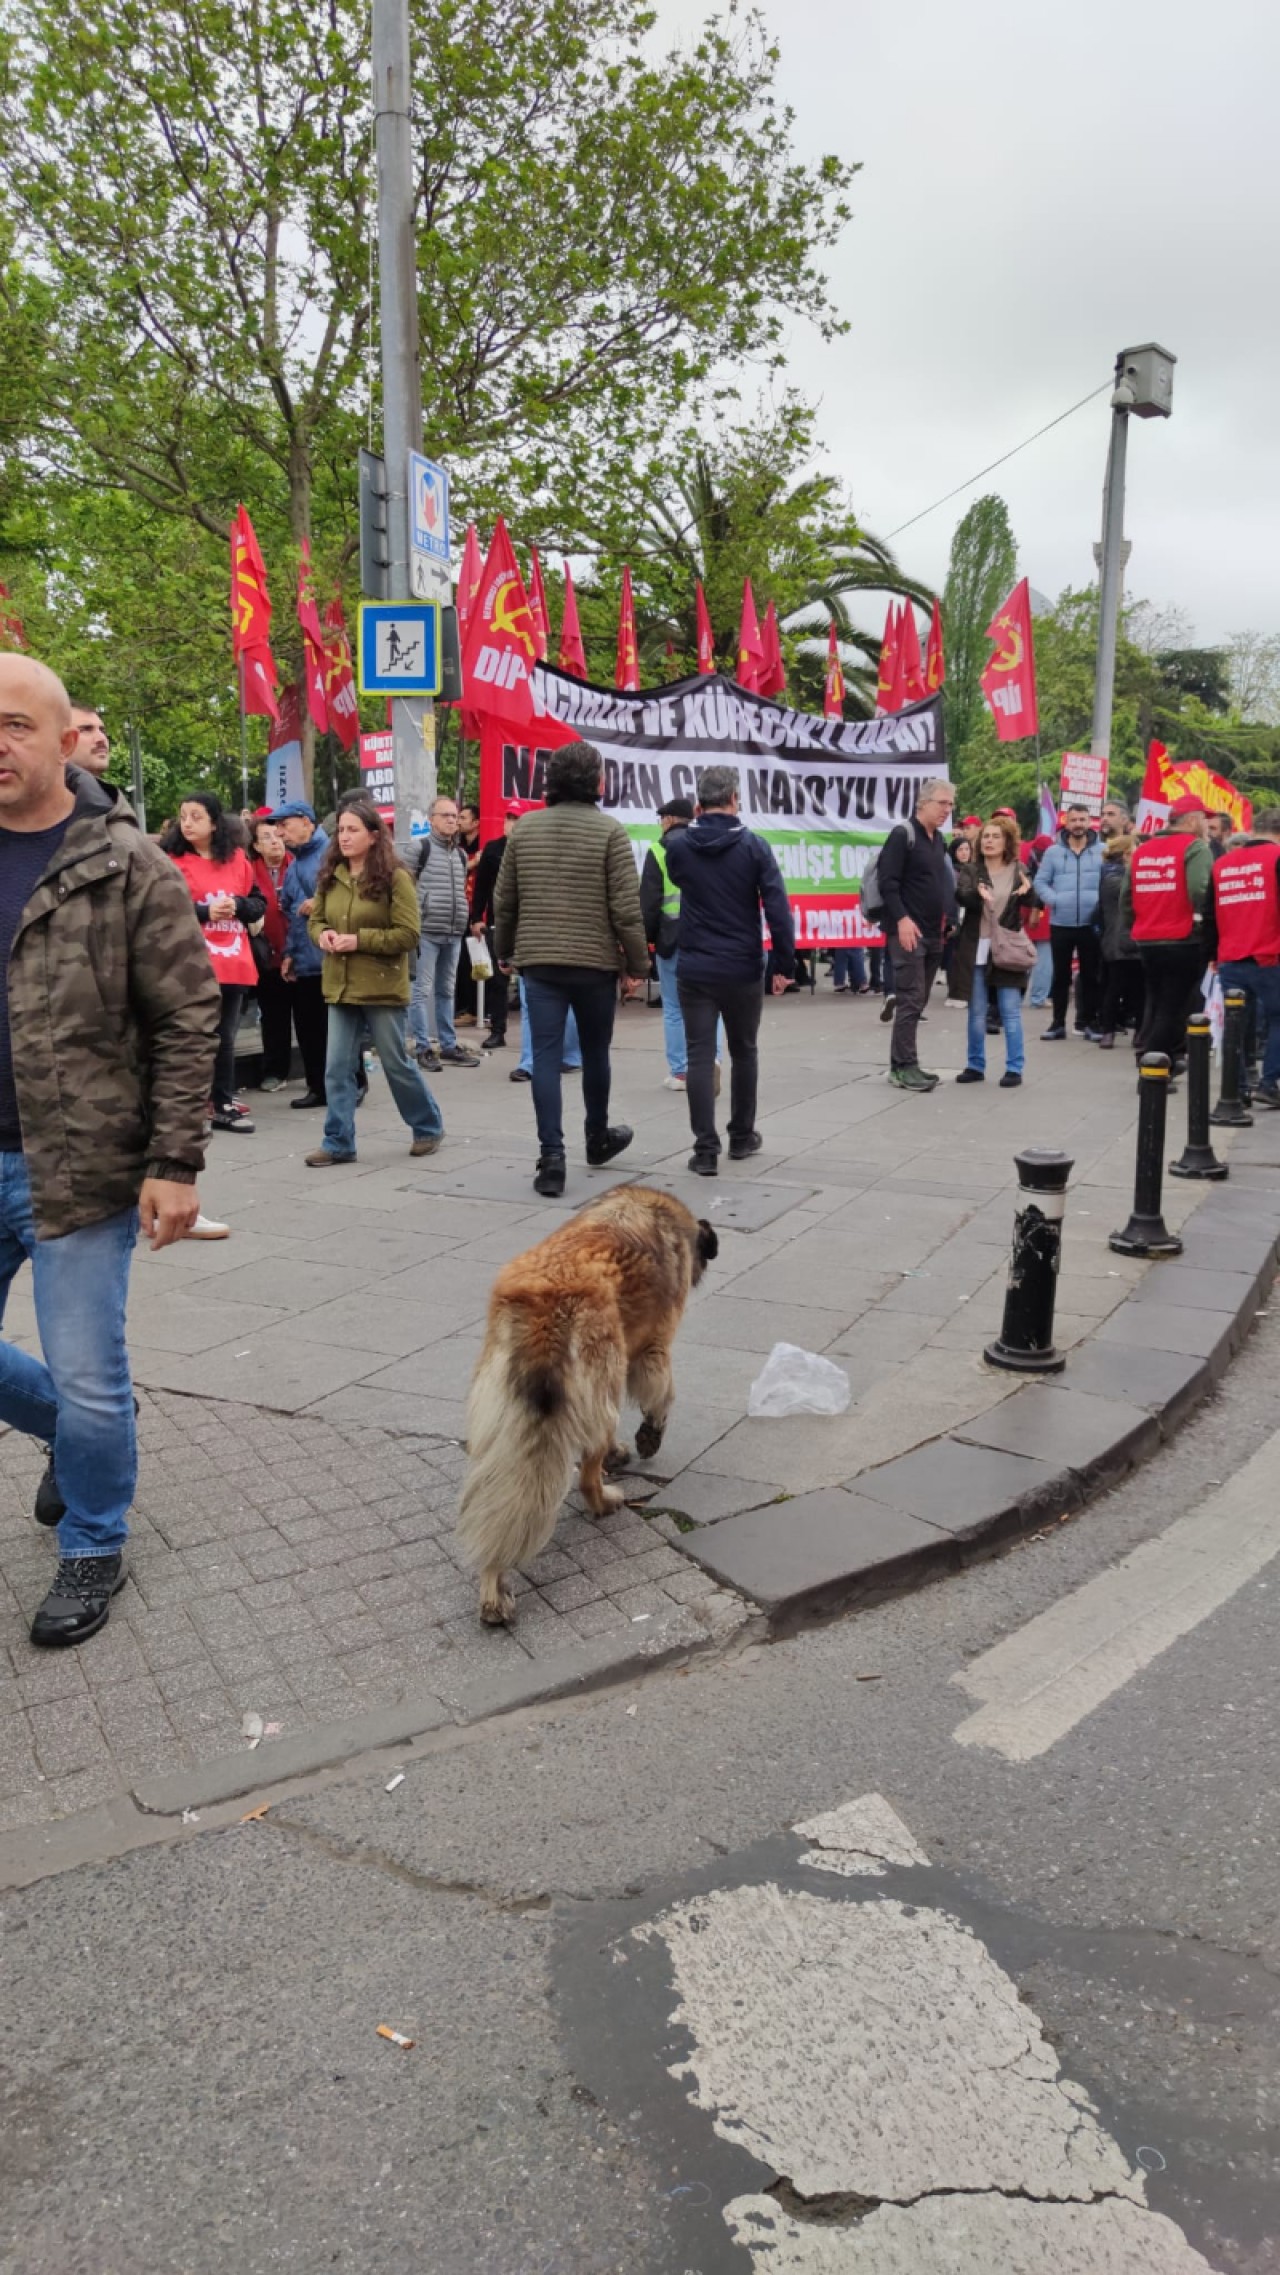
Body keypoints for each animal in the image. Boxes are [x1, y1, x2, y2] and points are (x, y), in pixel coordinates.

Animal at [459, 1192, 722, 1619]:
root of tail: (543, 1311)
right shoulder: (652, 1348)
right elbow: (662, 1392)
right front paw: (650, 1433)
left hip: (504, 1415)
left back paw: (493, 1587)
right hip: (597, 1380)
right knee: (585, 1474)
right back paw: (604, 1501)